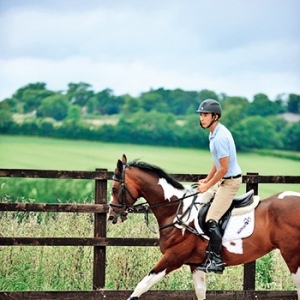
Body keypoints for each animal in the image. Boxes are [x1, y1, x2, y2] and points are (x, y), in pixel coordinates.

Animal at [109, 156, 300, 298]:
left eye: (115, 189)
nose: (112, 216)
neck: (177, 210)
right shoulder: (195, 264)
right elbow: (200, 293)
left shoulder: (172, 258)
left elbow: (140, 287)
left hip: (292, 255)